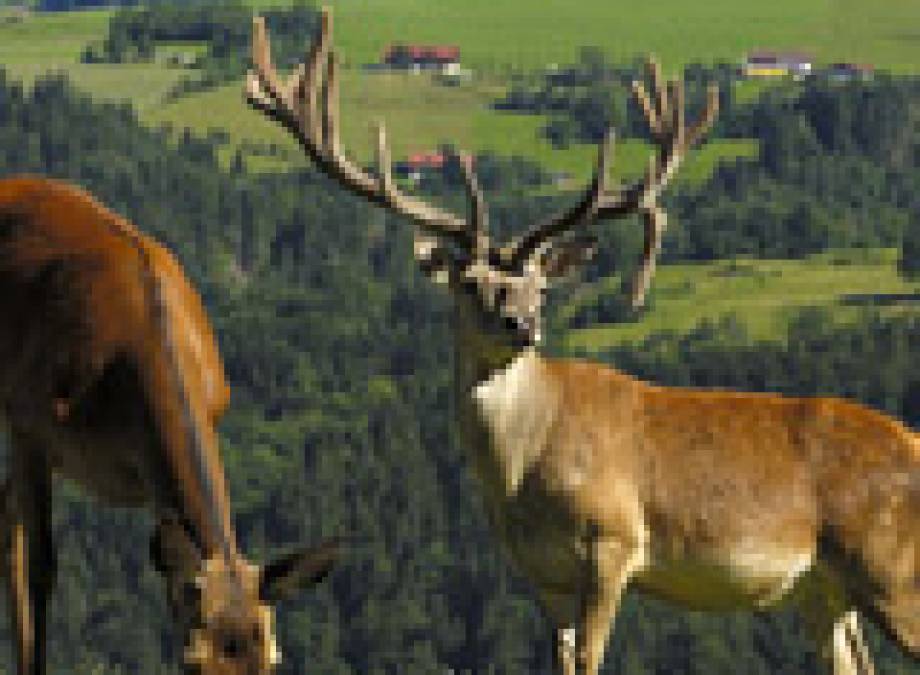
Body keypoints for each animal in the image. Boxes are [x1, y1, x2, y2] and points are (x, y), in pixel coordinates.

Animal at [246, 10, 920, 675]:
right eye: (470, 283)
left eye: (540, 286)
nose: (523, 324)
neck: (522, 475)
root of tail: (912, 441)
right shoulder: (539, 574)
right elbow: (562, 659)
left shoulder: (613, 540)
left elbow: (593, 656)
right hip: (823, 590)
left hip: (889, 565)